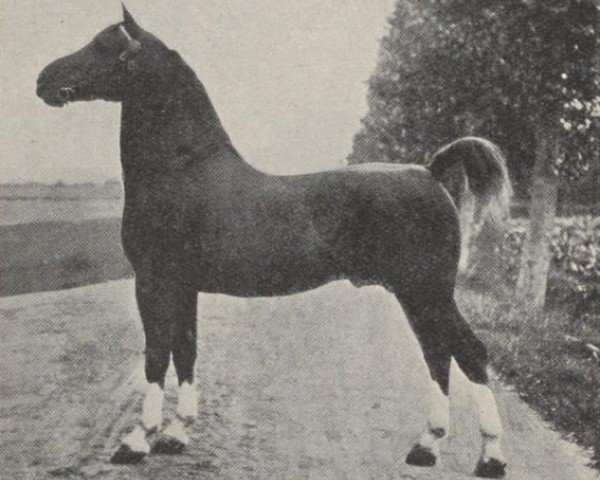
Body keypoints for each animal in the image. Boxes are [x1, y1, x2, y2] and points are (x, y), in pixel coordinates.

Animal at [35, 6, 510, 476]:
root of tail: (431, 173)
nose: (43, 79)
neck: (182, 171)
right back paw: (426, 447)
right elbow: (185, 350)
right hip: (417, 296)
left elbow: (155, 356)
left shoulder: (154, 282)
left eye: (105, 45)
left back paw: (491, 456)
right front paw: (177, 433)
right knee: (438, 354)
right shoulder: (183, 287)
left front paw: (137, 440)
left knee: (468, 352)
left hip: (427, 291)